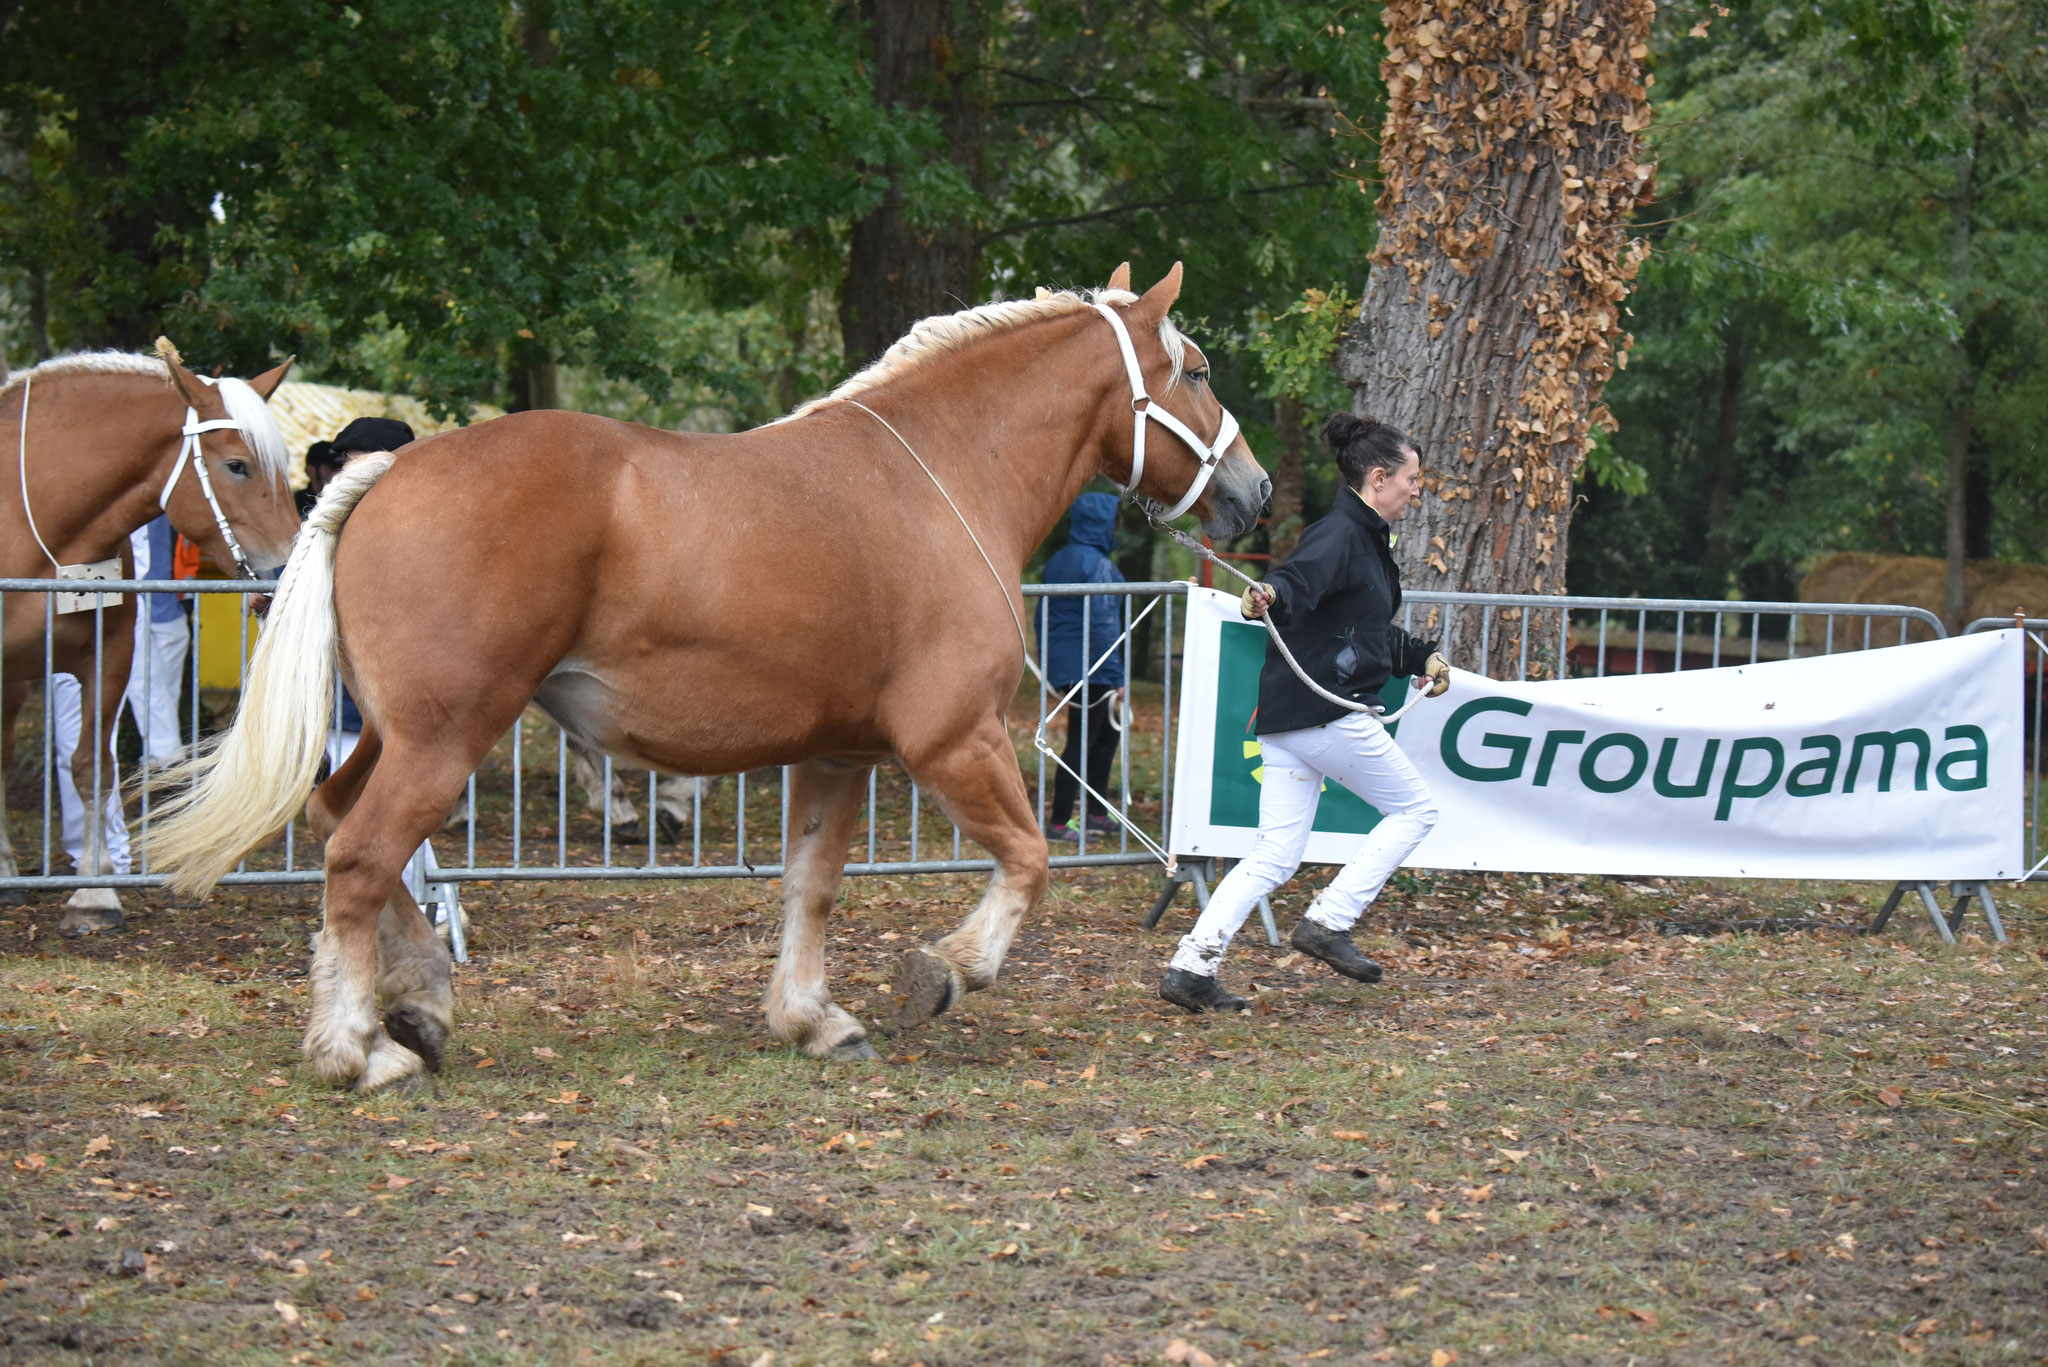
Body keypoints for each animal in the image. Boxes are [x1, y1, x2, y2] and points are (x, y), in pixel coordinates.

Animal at [148, 264, 1261, 1090]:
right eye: (1198, 369)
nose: (1253, 492)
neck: (941, 475)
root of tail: (385, 474)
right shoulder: (952, 736)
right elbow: (1027, 859)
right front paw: (948, 968)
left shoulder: (838, 753)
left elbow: (812, 884)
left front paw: (811, 1017)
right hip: (445, 736)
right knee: (360, 859)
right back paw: (359, 1047)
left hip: (392, 733)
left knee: (339, 821)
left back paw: (417, 1001)